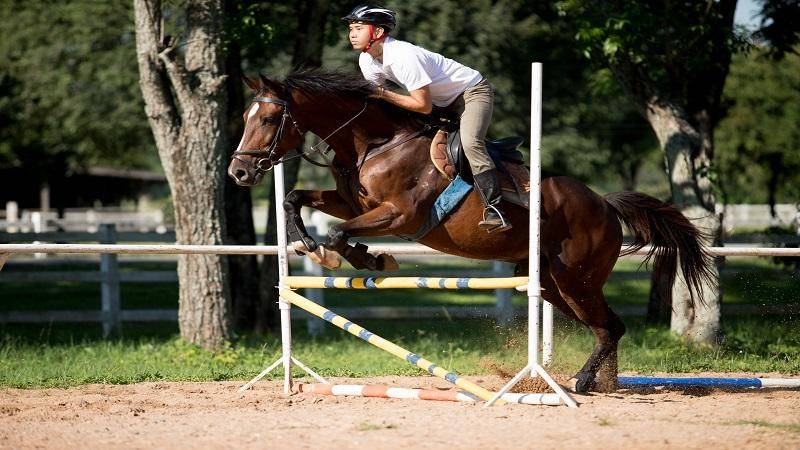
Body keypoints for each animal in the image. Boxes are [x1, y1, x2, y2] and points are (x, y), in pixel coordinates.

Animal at [225, 67, 712, 394]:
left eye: (266, 120)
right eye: (247, 118)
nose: (239, 172)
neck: (375, 144)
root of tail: (605, 204)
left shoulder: (400, 215)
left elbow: (339, 234)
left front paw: (361, 256)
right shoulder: (352, 201)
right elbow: (295, 200)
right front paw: (307, 242)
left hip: (577, 279)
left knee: (610, 328)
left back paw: (582, 381)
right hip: (554, 284)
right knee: (605, 327)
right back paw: (601, 383)